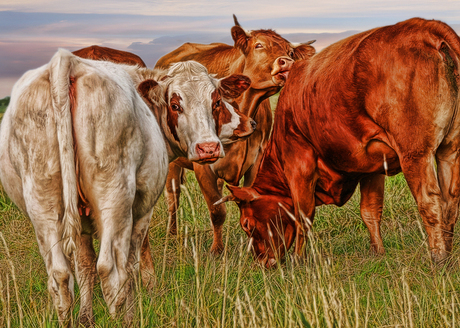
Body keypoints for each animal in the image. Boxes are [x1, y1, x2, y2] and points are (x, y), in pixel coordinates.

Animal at [0, 49, 252, 326]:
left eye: (215, 102)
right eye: (176, 105)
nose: (209, 148)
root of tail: (67, 62)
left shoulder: (81, 224)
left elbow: (85, 266)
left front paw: (86, 317)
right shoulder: (141, 210)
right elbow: (133, 260)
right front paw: (148, 290)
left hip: (43, 206)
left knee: (61, 277)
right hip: (115, 202)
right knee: (111, 271)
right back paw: (125, 319)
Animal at [155, 14, 316, 256]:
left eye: (289, 51)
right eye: (259, 45)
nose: (287, 62)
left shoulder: (255, 161)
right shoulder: (204, 167)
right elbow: (217, 212)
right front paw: (216, 250)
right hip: (172, 165)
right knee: (173, 198)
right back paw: (172, 234)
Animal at [218, 18, 460, 268]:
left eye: (246, 224)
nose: (264, 262)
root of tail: (425, 26)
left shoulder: (299, 161)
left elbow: (303, 215)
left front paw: (298, 259)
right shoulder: (373, 166)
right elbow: (370, 211)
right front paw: (377, 253)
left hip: (415, 154)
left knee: (430, 201)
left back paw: (438, 258)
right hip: (449, 150)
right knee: (450, 201)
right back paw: (448, 252)